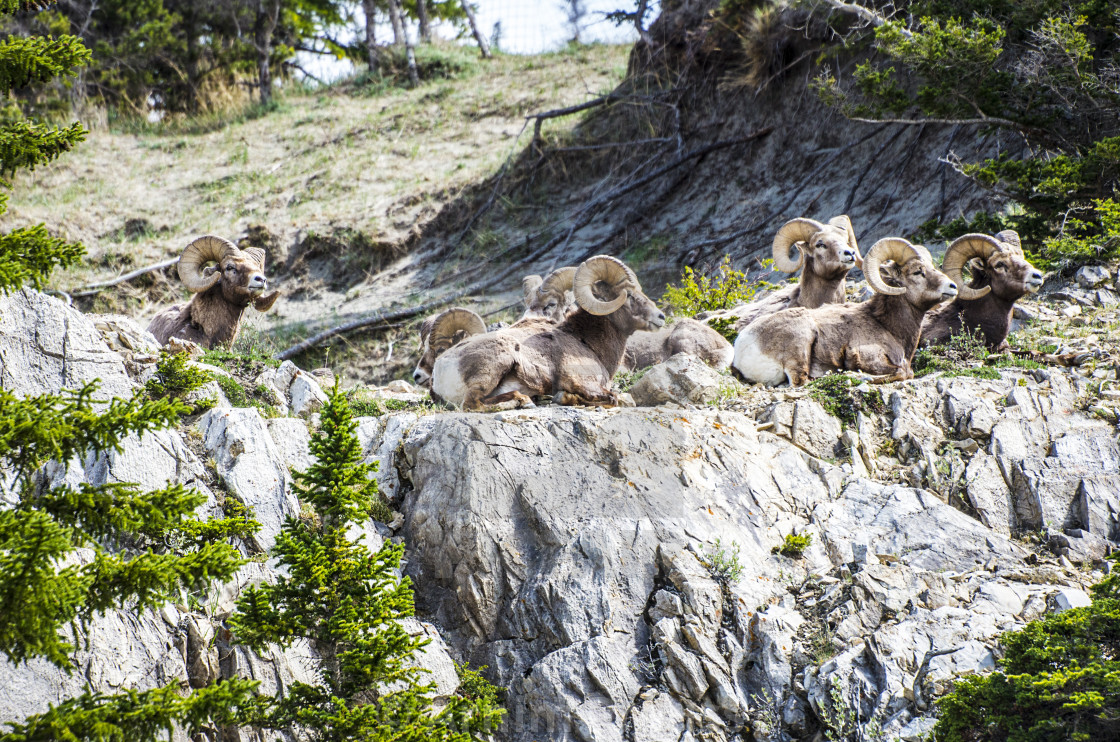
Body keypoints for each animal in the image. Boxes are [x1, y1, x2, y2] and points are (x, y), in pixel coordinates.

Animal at [432, 253, 663, 410]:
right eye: (629, 295)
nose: (660, 317)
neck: (585, 341)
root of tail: (440, 369)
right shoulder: (583, 382)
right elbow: (613, 398)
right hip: (495, 366)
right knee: (472, 404)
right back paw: (523, 401)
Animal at [734, 238, 963, 385]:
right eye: (917, 272)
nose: (952, 287)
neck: (888, 326)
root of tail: (741, 347)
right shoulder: (865, 356)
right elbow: (904, 372)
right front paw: (858, 375)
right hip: (801, 340)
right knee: (801, 380)